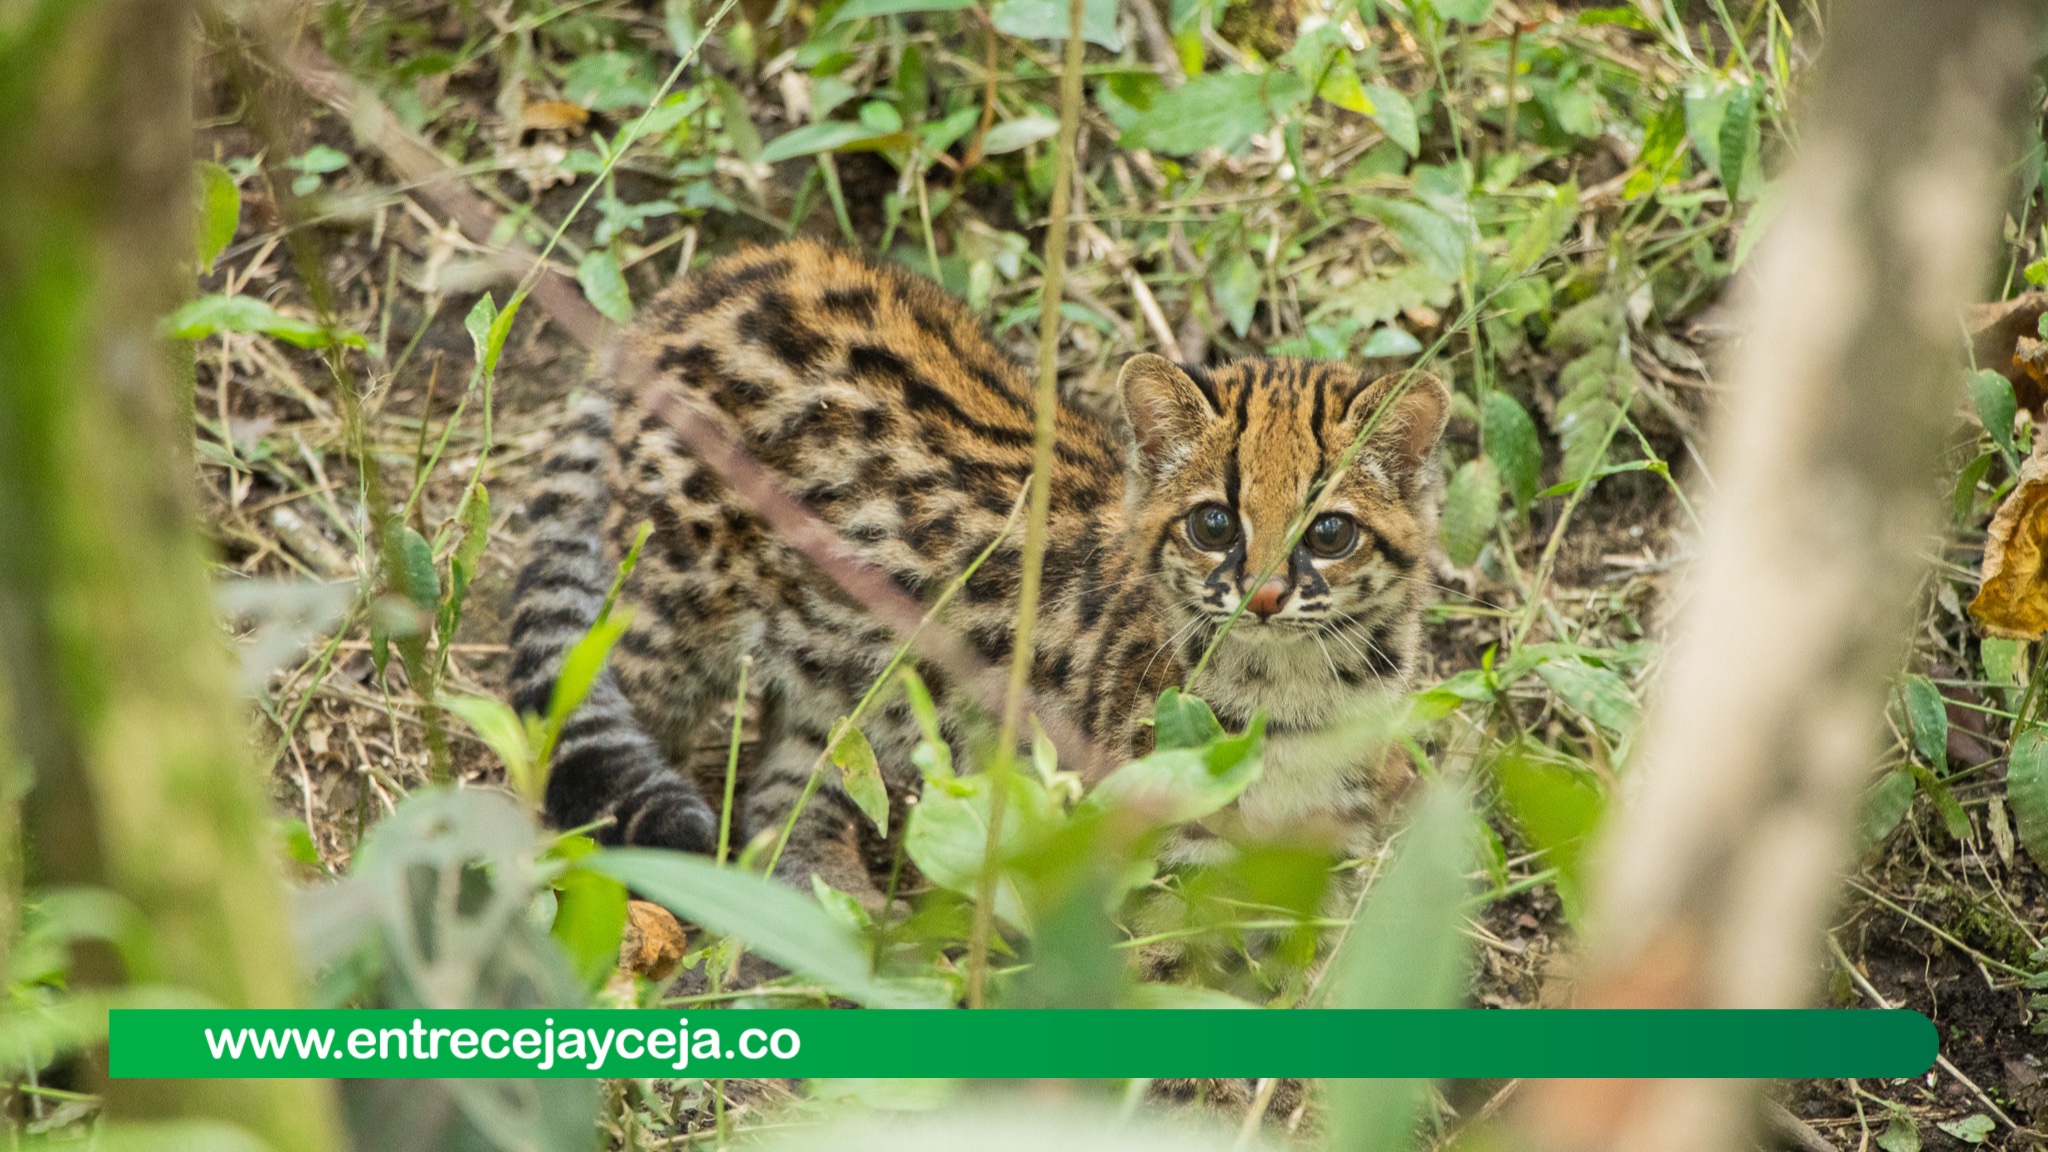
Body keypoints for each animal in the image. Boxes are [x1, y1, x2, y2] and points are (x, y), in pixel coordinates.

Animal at [503, 239, 1449, 897]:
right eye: (1214, 524)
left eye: (1330, 534)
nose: (1263, 596)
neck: (1297, 691)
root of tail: (694, 289)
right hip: (669, 616)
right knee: (570, 724)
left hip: (841, 669)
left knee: (785, 793)